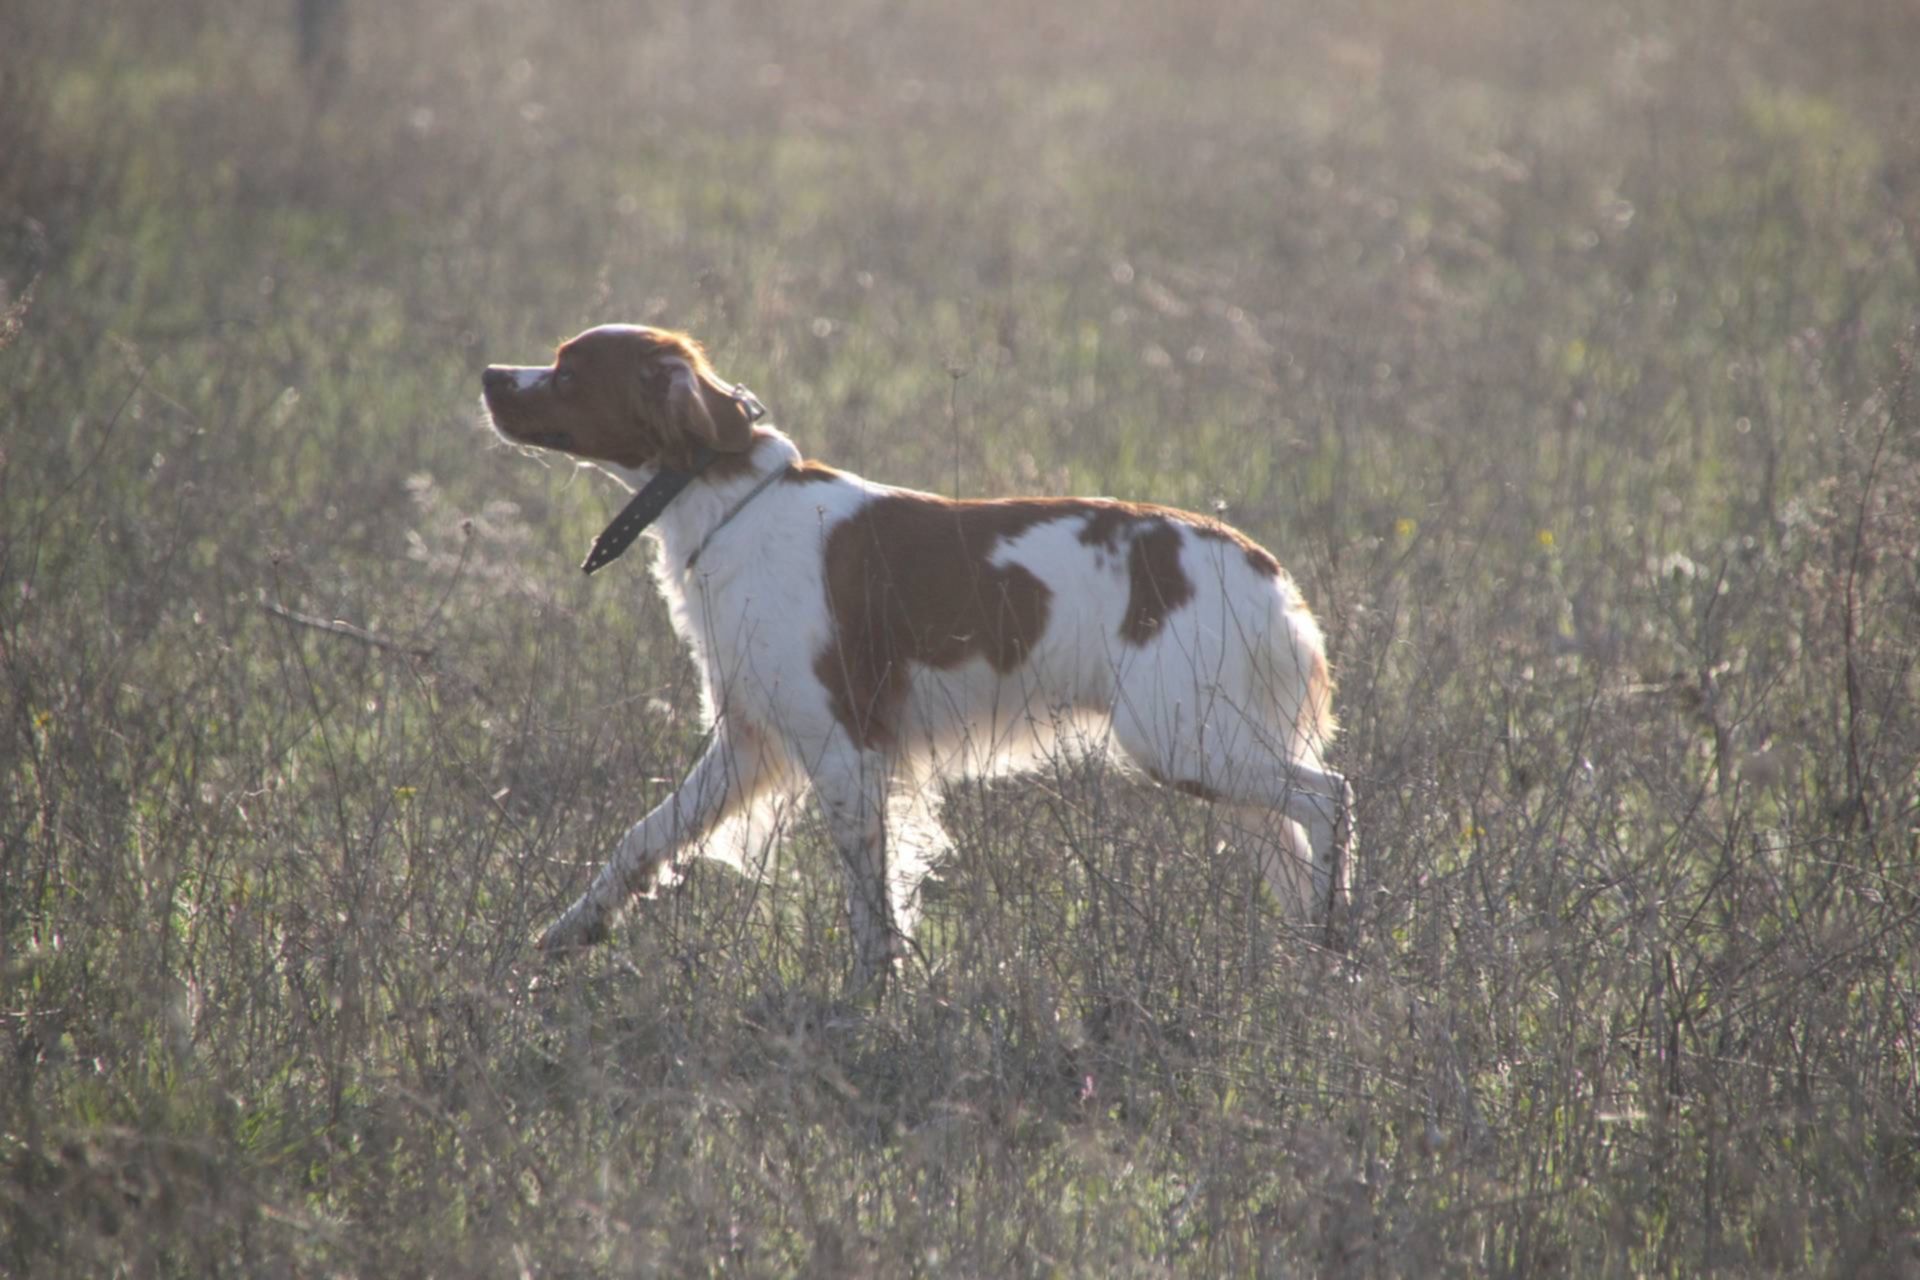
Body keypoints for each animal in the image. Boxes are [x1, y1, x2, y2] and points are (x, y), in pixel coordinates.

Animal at [483, 322, 1351, 982]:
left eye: (568, 370)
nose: (489, 372)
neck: (728, 503)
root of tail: (1261, 567)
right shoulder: (748, 743)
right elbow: (640, 840)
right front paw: (568, 931)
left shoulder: (844, 749)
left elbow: (870, 908)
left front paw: (871, 1000)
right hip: (1210, 742)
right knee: (1292, 830)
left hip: (1180, 737)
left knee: (1329, 797)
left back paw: (1336, 938)